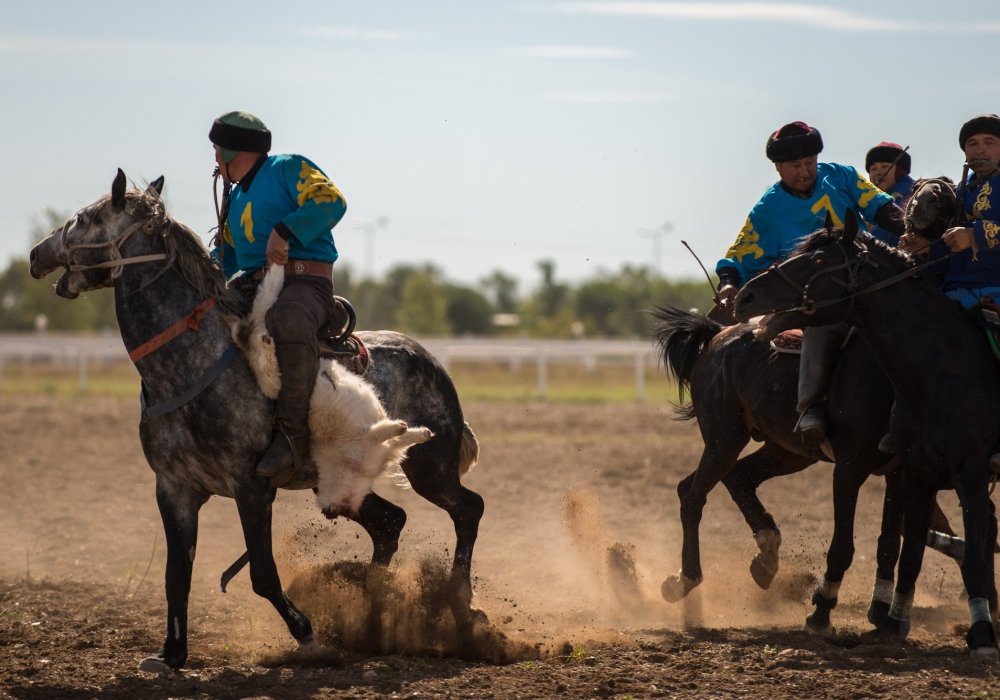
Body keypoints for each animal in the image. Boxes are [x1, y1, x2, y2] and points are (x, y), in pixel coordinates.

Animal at [29, 171, 486, 672]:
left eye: (84, 218)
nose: (36, 255)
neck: (191, 364)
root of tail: (428, 358)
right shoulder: (174, 489)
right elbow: (176, 575)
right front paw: (171, 653)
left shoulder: (252, 489)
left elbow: (264, 575)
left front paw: (307, 634)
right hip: (340, 486)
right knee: (391, 523)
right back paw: (371, 607)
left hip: (430, 468)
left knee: (467, 508)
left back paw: (462, 606)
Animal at [736, 211, 1000, 660]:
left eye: (819, 260)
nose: (746, 297)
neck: (947, 368)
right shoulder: (914, 473)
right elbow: (904, 551)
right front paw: (890, 622)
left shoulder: (970, 473)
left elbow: (967, 554)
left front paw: (981, 635)